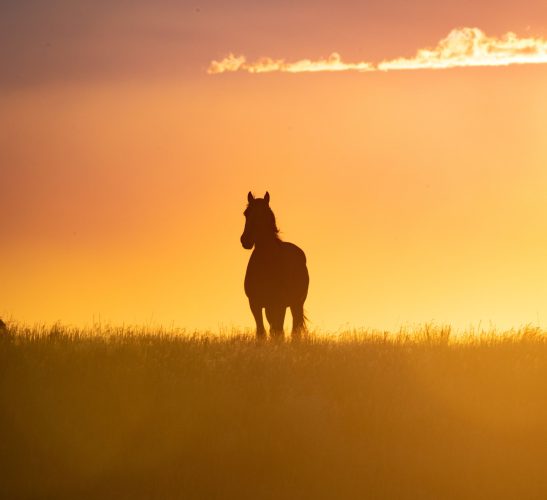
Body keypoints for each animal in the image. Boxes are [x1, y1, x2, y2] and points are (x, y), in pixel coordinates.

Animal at [240, 191, 308, 340]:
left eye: (264, 213)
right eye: (246, 213)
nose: (245, 240)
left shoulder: (279, 304)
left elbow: (278, 331)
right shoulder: (255, 303)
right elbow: (261, 331)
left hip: (296, 303)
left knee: (294, 327)